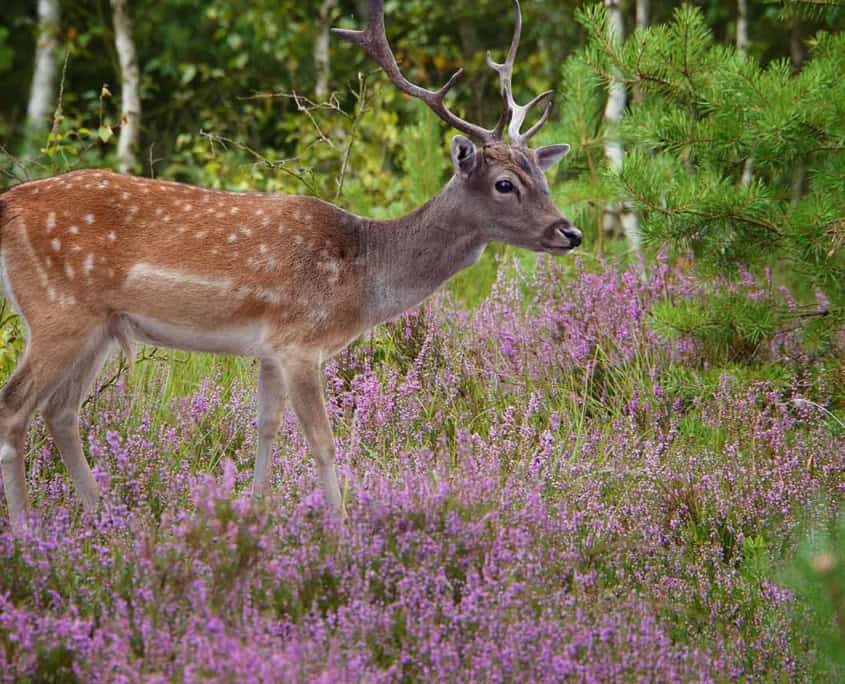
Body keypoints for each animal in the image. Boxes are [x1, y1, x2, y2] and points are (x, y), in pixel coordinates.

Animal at [0, 0, 580, 528]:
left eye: (542, 176)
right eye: (504, 184)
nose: (569, 233)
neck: (363, 275)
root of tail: (9, 205)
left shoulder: (269, 349)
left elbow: (266, 426)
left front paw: (254, 516)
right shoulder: (302, 341)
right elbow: (322, 441)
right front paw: (340, 533)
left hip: (99, 327)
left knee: (61, 411)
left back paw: (105, 519)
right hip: (58, 312)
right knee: (15, 406)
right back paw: (29, 534)